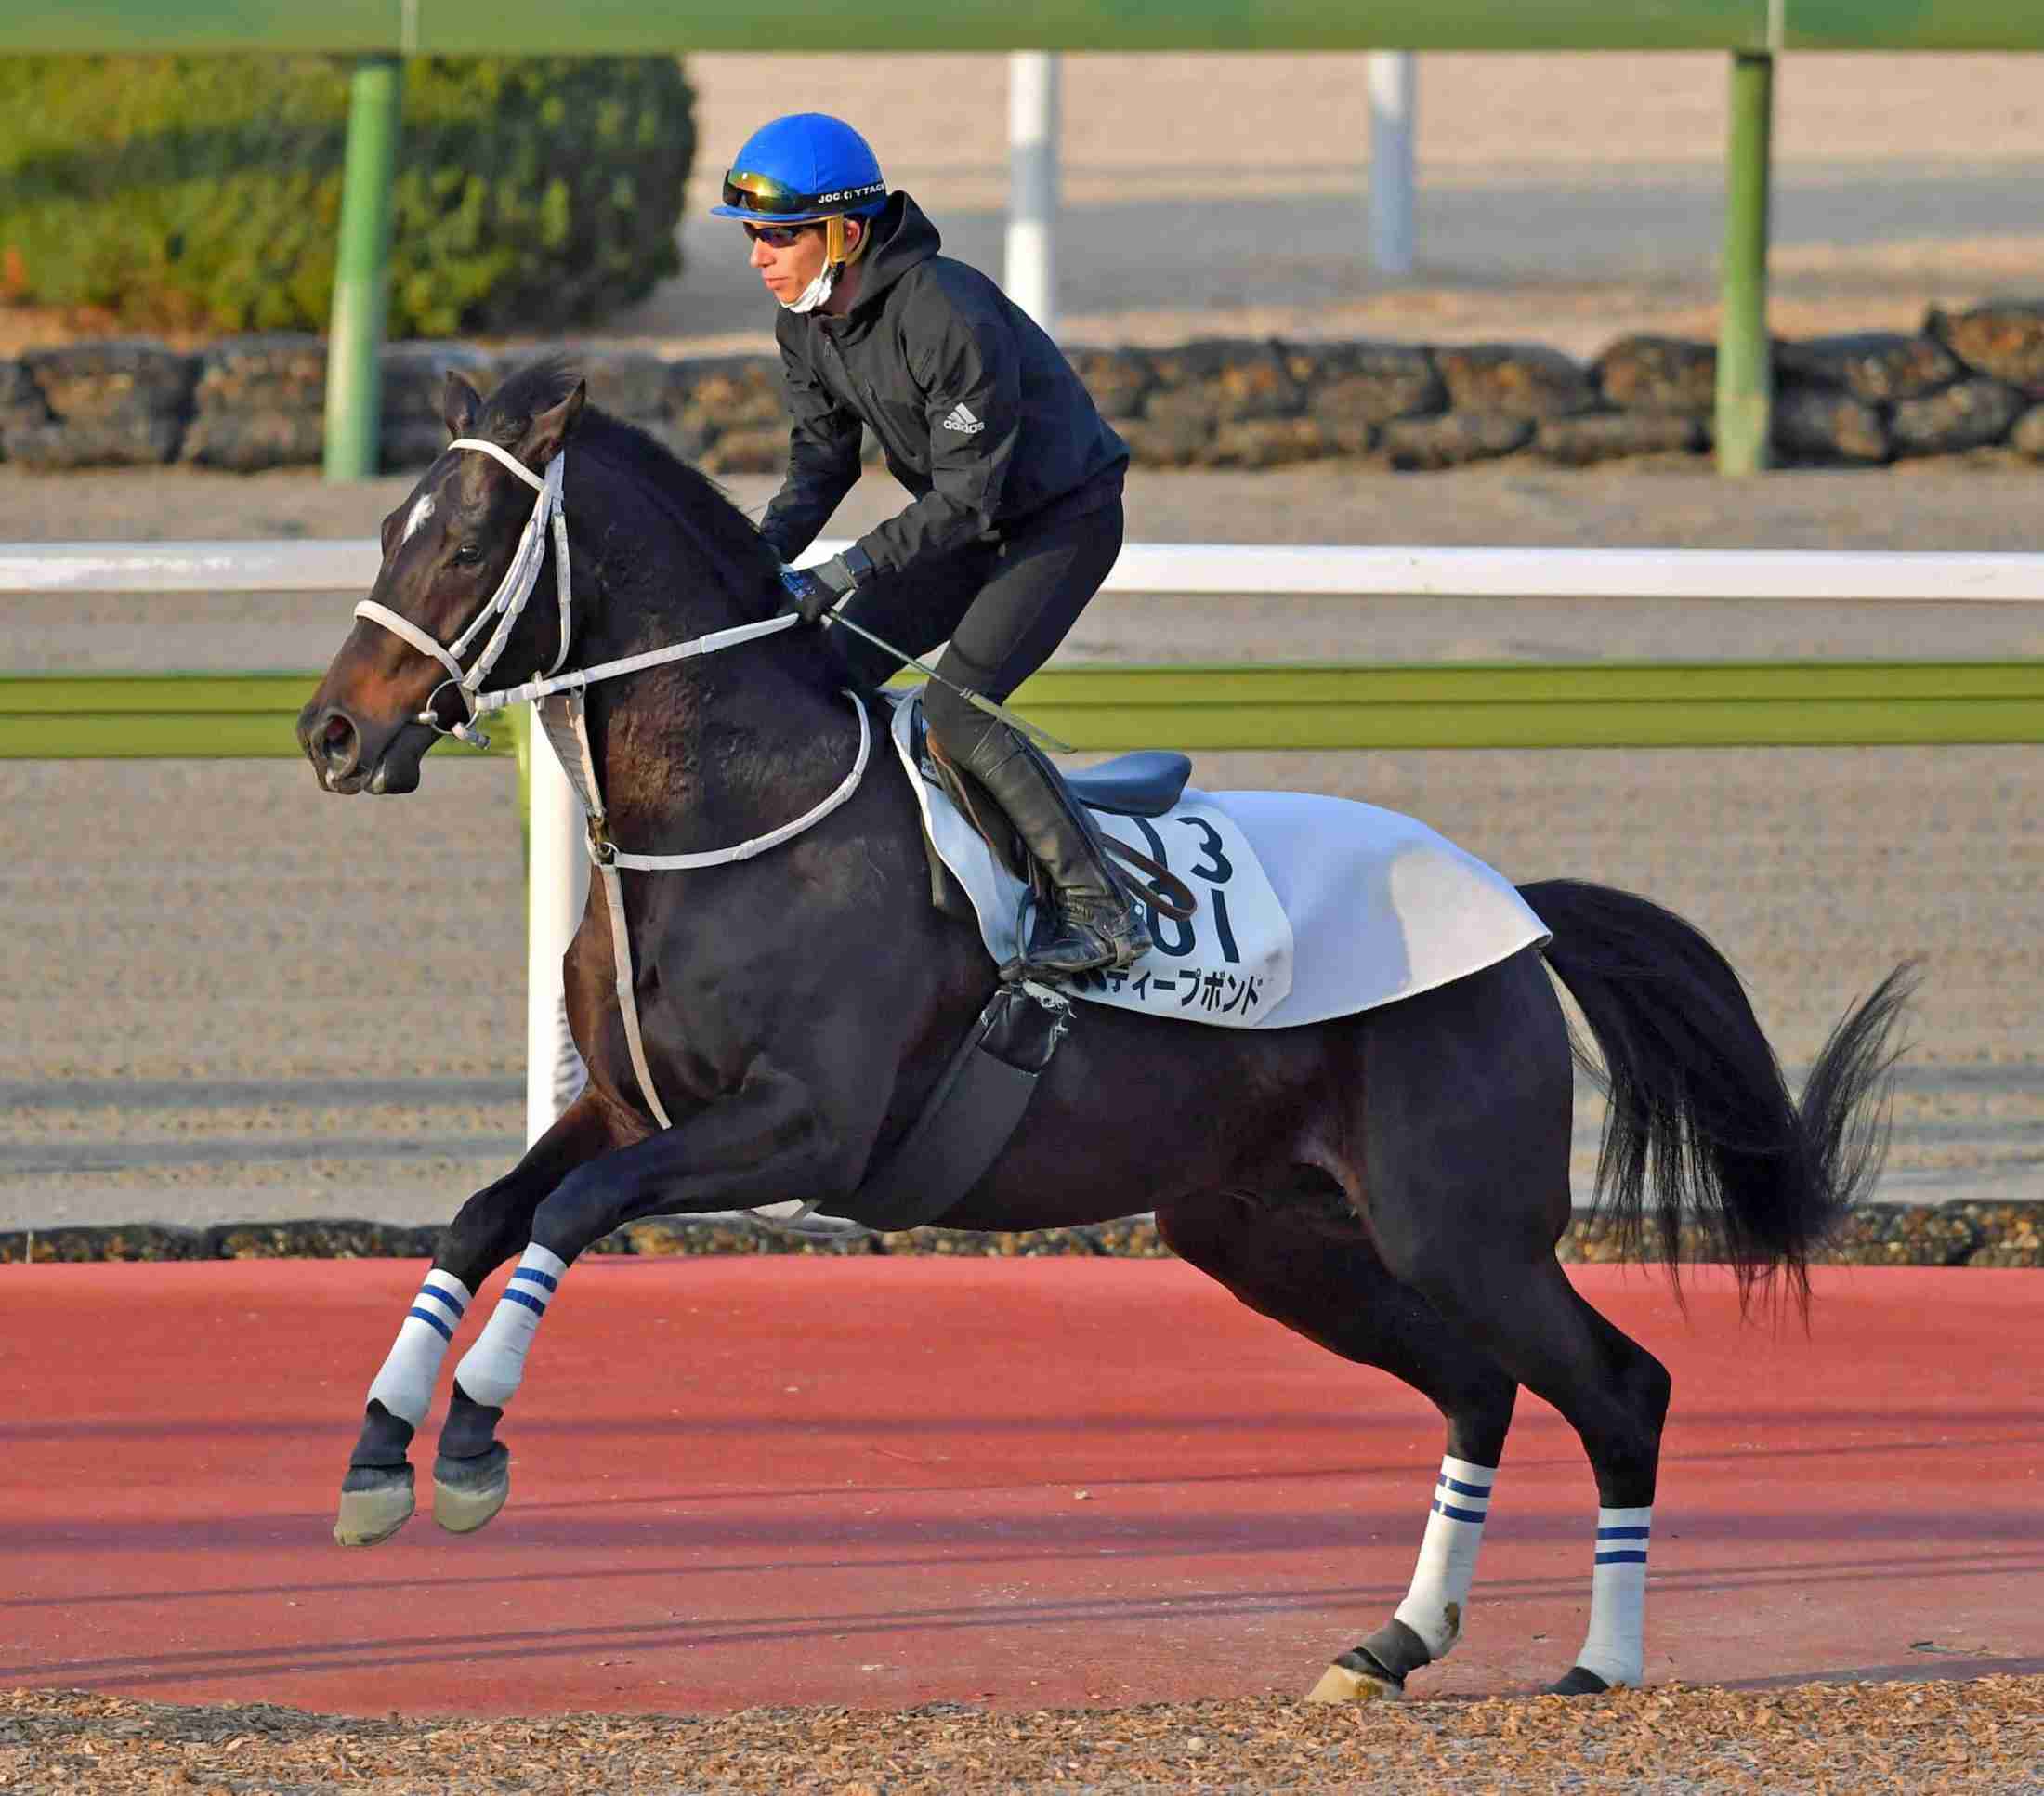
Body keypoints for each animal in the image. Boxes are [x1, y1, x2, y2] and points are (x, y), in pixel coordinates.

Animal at [297, 358, 1912, 1703]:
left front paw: (475, 1446)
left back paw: (1602, 1660)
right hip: (1271, 1234)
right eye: (384, 525)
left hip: (1459, 1225)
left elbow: (570, 1211)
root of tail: (1522, 912)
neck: (740, 806)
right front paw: (379, 1453)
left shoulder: (798, 1128)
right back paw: (1391, 1644)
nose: (331, 733)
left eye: (464, 541)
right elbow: (487, 1211)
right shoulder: (639, 1105)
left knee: (1619, 1388)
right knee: (1479, 1388)